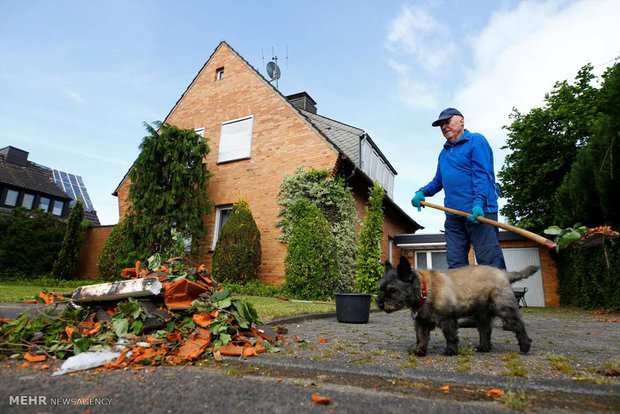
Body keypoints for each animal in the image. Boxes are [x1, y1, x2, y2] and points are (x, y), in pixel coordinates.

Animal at [376, 256, 540, 356]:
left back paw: (525, 346)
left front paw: (451, 351)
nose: (379, 303)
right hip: (482, 314)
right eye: (381, 289)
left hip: (504, 308)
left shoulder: (447, 319)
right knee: (485, 330)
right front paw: (419, 351)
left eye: (392, 290)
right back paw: (483, 347)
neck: (424, 290)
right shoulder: (421, 322)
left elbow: (450, 336)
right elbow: (421, 337)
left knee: (518, 326)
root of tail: (503, 273)